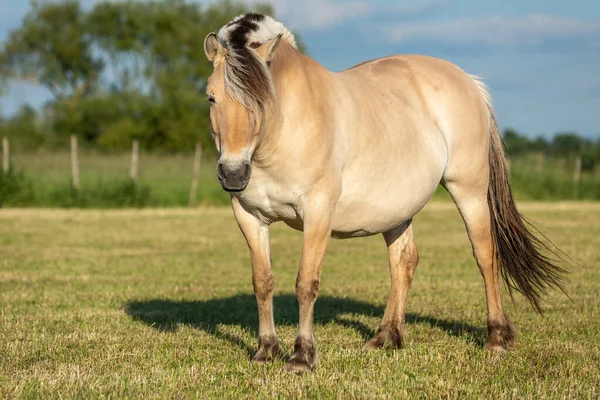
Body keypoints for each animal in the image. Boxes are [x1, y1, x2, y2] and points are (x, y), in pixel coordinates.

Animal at [204, 14, 564, 374]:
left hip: (469, 191)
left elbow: (306, 283)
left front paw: (302, 357)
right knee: (404, 262)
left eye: (261, 99)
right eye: (211, 97)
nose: (233, 173)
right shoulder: (249, 217)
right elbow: (262, 282)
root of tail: (468, 81)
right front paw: (266, 350)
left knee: (485, 255)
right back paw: (386, 337)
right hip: (398, 209)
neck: (283, 131)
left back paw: (496, 338)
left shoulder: (318, 213)